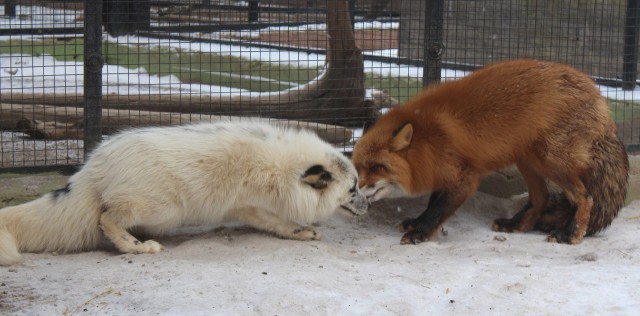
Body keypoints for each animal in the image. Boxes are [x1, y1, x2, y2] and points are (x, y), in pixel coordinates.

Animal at [356, 60, 632, 246]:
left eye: (377, 167)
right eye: (358, 167)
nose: (356, 189)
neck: (428, 138)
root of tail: (599, 96)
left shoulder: (463, 178)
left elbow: (438, 208)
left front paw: (420, 231)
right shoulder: (443, 172)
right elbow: (433, 203)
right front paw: (417, 222)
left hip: (552, 162)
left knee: (585, 198)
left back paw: (571, 234)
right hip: (529, 162)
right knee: (541, 199)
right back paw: (516, 224)